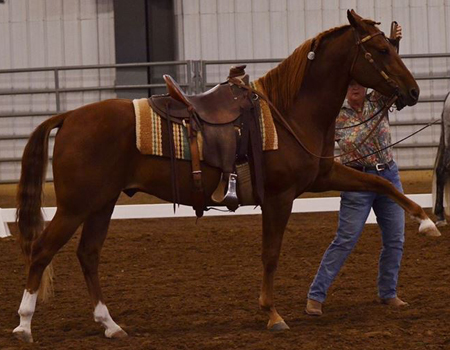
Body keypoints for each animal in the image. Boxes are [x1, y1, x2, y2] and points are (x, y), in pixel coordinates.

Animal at [13, 10, 440, 342]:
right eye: (382, 50)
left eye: (393, 46)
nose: (414, 91)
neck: (289, 113)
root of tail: (69, 116)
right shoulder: (280, 198)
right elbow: (270, 254)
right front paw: (272, 314)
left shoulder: (324, 177)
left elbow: (380, 183)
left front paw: (427, 222)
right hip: (76, 206)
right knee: (42, 251)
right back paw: (24, 325)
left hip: (102, 204)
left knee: (88, 254)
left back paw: (110, 325)